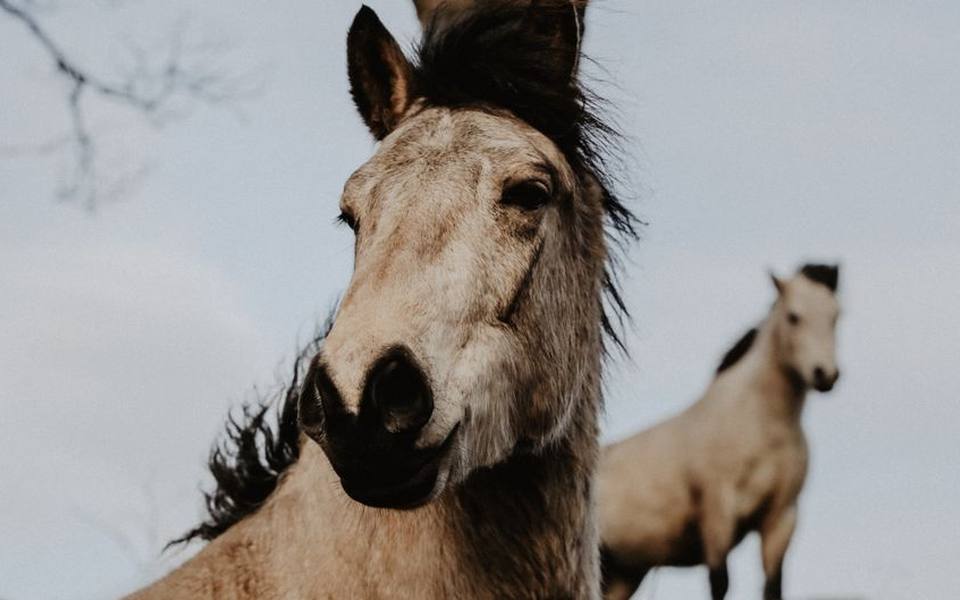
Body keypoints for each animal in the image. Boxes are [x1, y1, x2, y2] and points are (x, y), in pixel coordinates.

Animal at [597, 264, 841, 600]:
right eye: (794, 316)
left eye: (835, 315)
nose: (824, 374)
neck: (761, 426)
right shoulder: (718, 515)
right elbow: (720, 583)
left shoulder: (781, 520)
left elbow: (773, 588)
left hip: (624, 573)